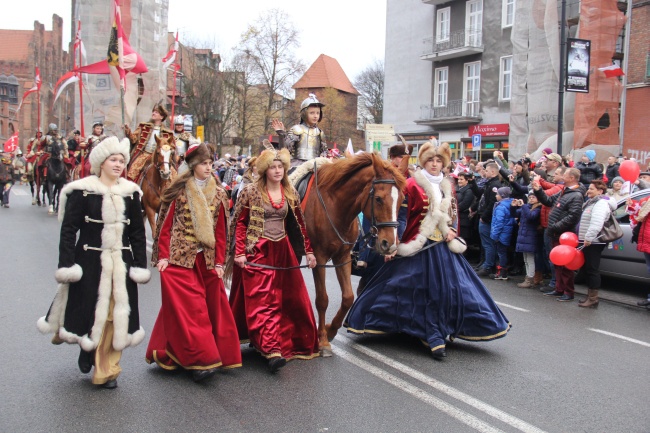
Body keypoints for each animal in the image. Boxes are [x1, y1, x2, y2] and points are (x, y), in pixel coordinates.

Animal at [298, 152, 404, 354]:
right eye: (378, 198)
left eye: (402, 200)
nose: (390, 244)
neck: (335, 205)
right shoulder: (319, 257)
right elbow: (322, 299)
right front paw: (322, 340)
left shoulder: (343, 257)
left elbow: (348, 298)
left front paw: (331, 330)